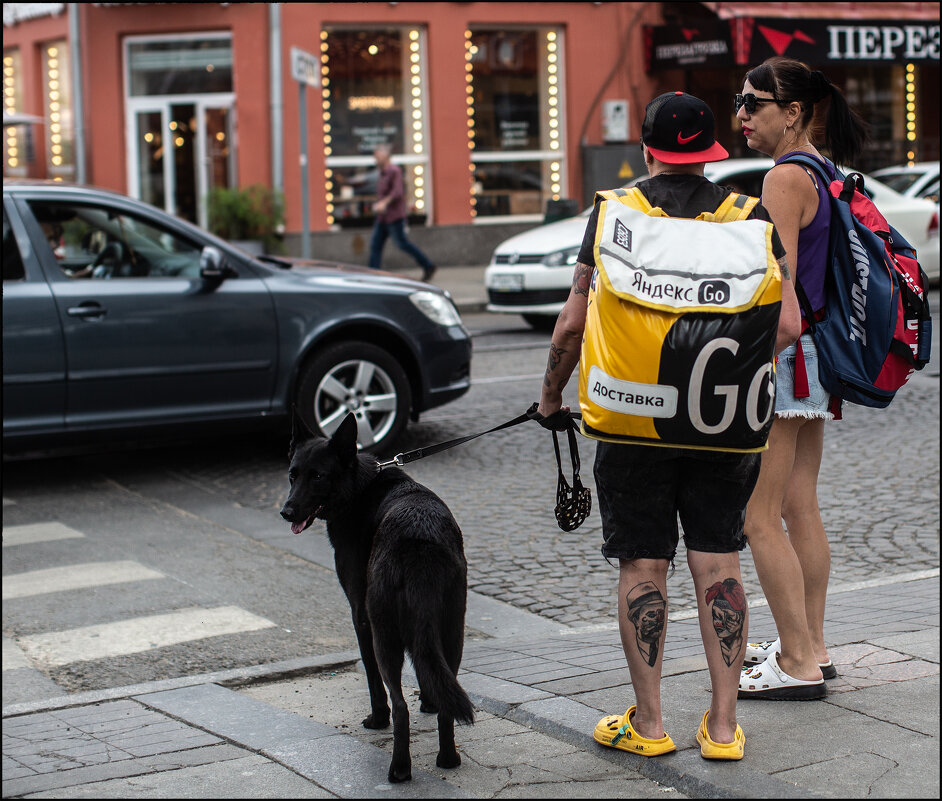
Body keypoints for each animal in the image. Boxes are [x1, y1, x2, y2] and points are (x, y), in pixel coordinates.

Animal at [278, 412, 472, 780]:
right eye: (293, 475)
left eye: (318, 476)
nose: (287, 512)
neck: (359, 489)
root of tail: (418, 541)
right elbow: (427, 670)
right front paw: (429, 701)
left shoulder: (360, 614)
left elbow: (370, 675)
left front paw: (376, 717)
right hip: (453, 630)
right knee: (446, 692)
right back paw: (447, 758)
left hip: (385, 633)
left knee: (399, 705)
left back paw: (399, 769)